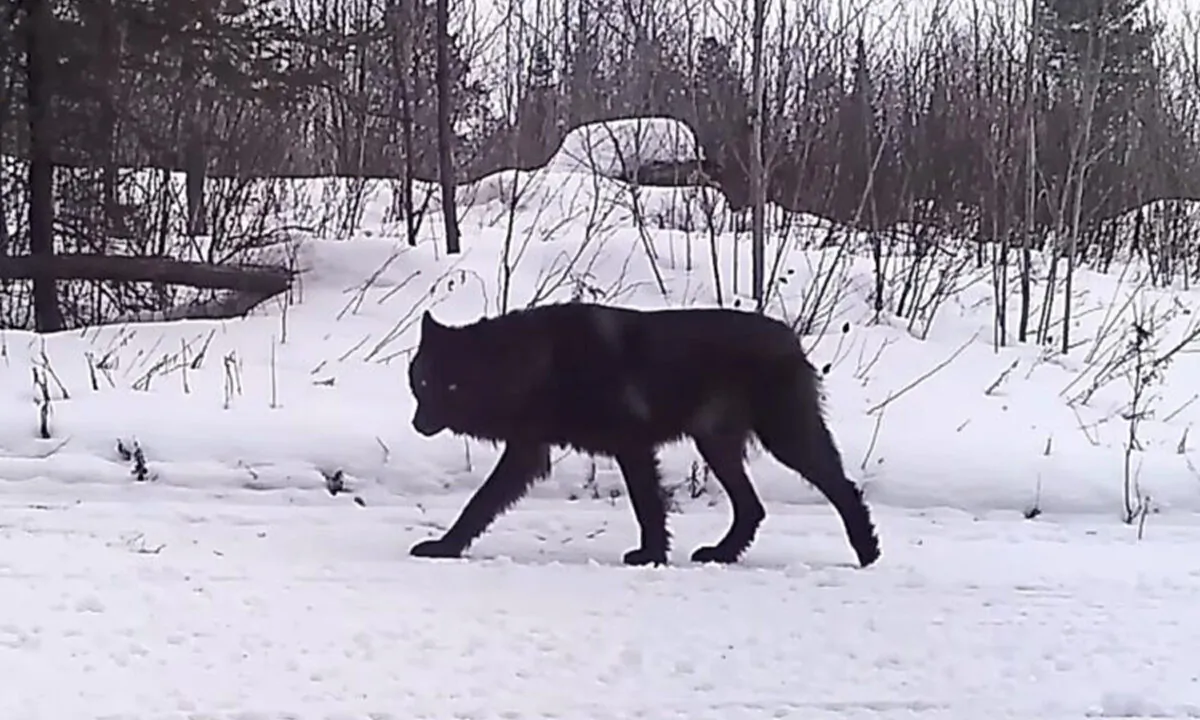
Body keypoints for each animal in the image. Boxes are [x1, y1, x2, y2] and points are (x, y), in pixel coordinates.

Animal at [406, 302, 881, 568]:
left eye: (452, 386)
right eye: (424, 382)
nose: (417, 425)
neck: (536, 363)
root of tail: (790, 337)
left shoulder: (631, 444)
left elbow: (646, 505)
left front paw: (651, 555)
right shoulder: (527, 452)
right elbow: (479, 504)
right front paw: (446, 547)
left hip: (784, 438)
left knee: (842, 487)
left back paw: (867, 550)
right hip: (717, 445)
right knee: (753, 508)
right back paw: (721, 554)